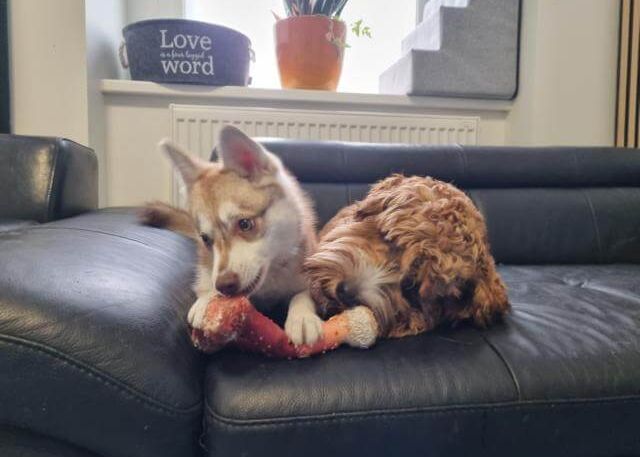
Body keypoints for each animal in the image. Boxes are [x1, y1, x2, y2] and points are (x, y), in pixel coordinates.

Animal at [140, 126, 324, 346]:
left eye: (244, 224)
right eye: (206, 239)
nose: (225, 286)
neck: (270, 280)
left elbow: (302, 295)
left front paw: (302, 316)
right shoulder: (208, 264)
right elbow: (206, 278)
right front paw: (206, 299)